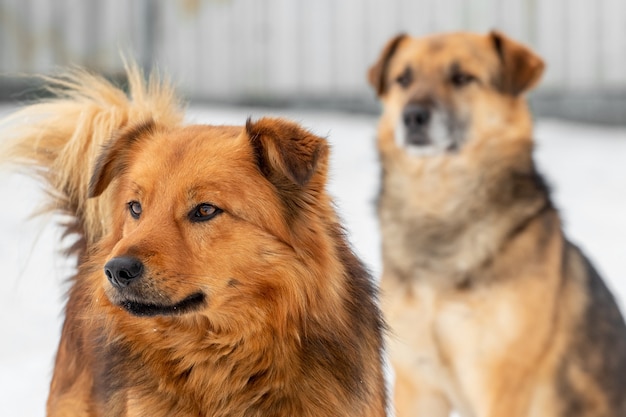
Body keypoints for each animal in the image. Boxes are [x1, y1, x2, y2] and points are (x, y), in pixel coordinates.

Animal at [366, 30, 624, 416]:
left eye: (462, 78)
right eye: (404, 79)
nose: (413, 117)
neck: (439, 207)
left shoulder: (498, 382)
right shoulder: (417, 384)